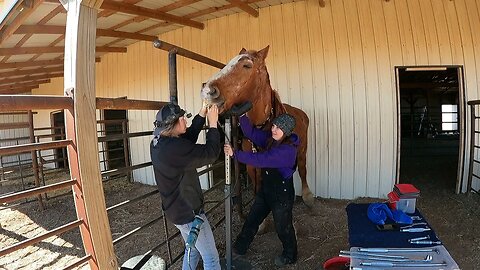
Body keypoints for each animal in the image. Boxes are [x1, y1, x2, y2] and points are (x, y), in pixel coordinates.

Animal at [200, 45, 316, 208]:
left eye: (247, 65)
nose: (207, 91)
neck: (262, 125)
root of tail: (301, 113)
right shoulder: (252, 167)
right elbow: (257, 187)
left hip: (302, 150)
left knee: (302, 168)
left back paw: (307, 195)